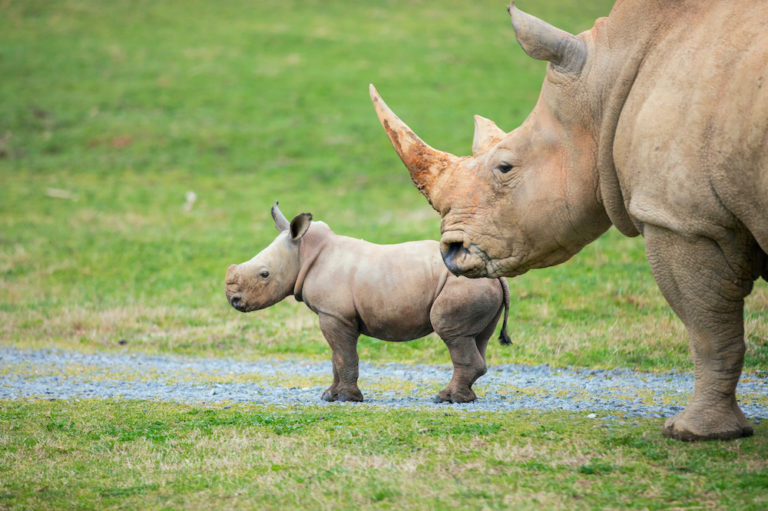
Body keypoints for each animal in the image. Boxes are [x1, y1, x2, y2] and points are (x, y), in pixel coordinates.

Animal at [224, 203, 510, 404]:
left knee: (451, 333)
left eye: (264, 274)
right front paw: (329, 396)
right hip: (478, 285)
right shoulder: (335, 315)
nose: (233, 300)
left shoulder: (334, 315)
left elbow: (343, 356)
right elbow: (336, 357)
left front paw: (345, 398)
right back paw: (465, 398)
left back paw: (445, 399)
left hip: (463, 285)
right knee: (477, 337)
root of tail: (498, 277)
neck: (304, 252)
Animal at [368, 0, 764, 440]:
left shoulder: (683, 221)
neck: (606, 80)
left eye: (505, 167)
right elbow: (716, 325)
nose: (450, 252)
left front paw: (695, 433)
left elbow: (708, 327)